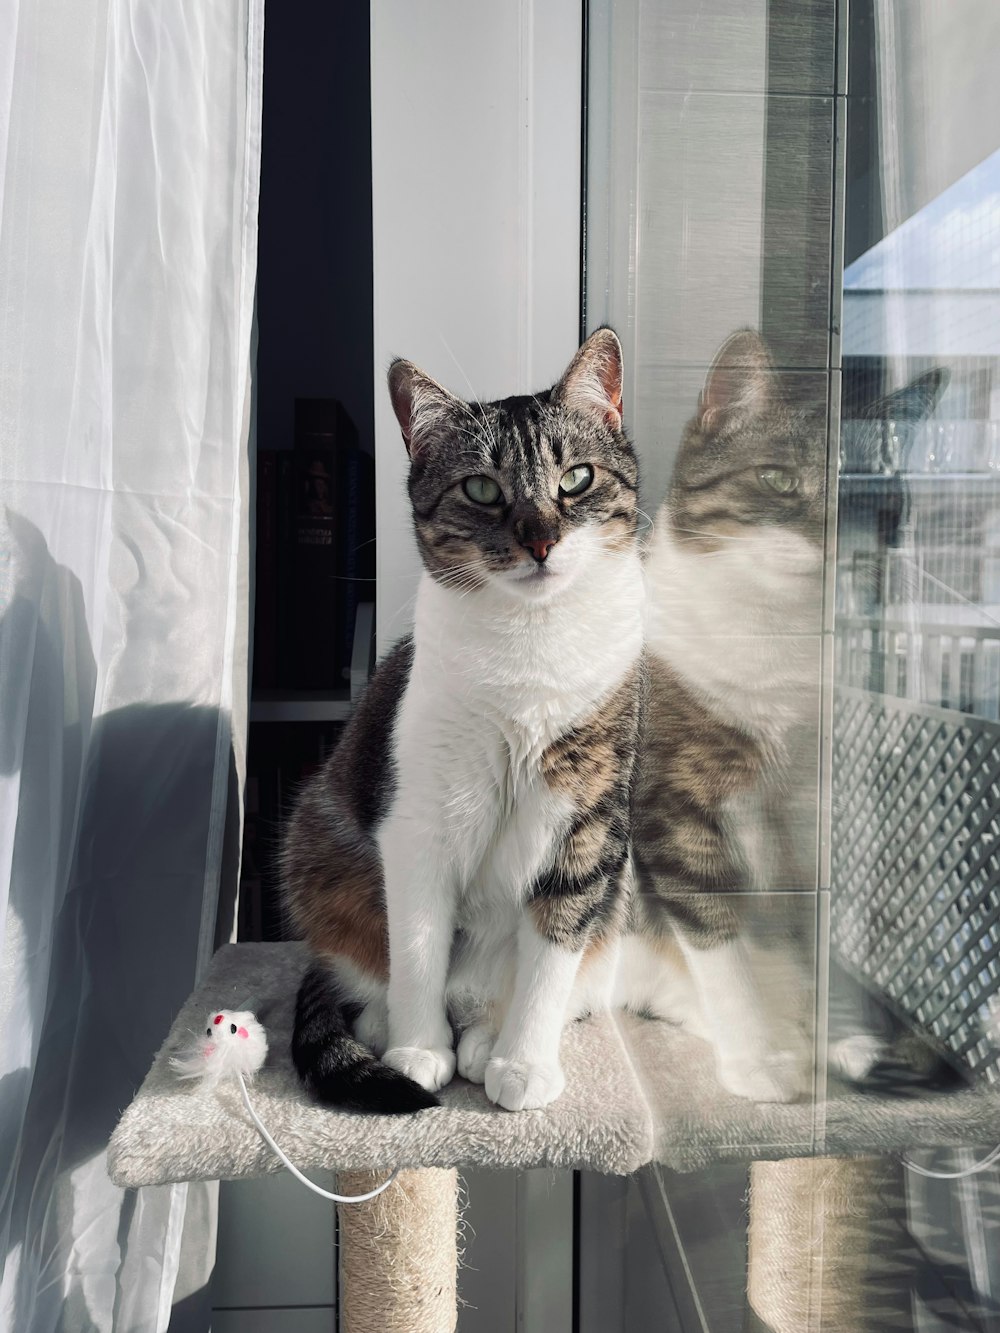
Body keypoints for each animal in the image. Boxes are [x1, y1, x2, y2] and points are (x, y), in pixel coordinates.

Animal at [282, 330, 645, 1114]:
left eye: (576, 479)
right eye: (482, 489)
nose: (540, 540)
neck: (529, 642)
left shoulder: (587, 825)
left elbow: (553, 951)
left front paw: (525, 1062)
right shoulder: (418, 822)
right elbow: (417, 943)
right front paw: (418, 1050)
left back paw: (486, 1041)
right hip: (320, 857)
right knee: (369, 965)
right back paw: (398, 1030)